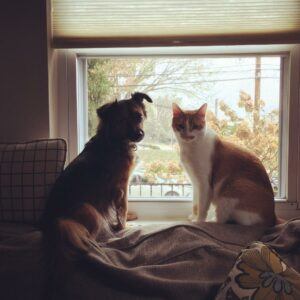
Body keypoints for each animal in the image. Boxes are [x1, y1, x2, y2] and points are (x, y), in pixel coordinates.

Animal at [39, 92, 152, 254]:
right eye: (122, 120)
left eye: (139, 117)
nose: (140, 134)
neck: (114, 139)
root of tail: (51, 223)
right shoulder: (121, 185)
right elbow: (122, 208)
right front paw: (124, 226)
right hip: (88, 210)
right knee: (89, 238)